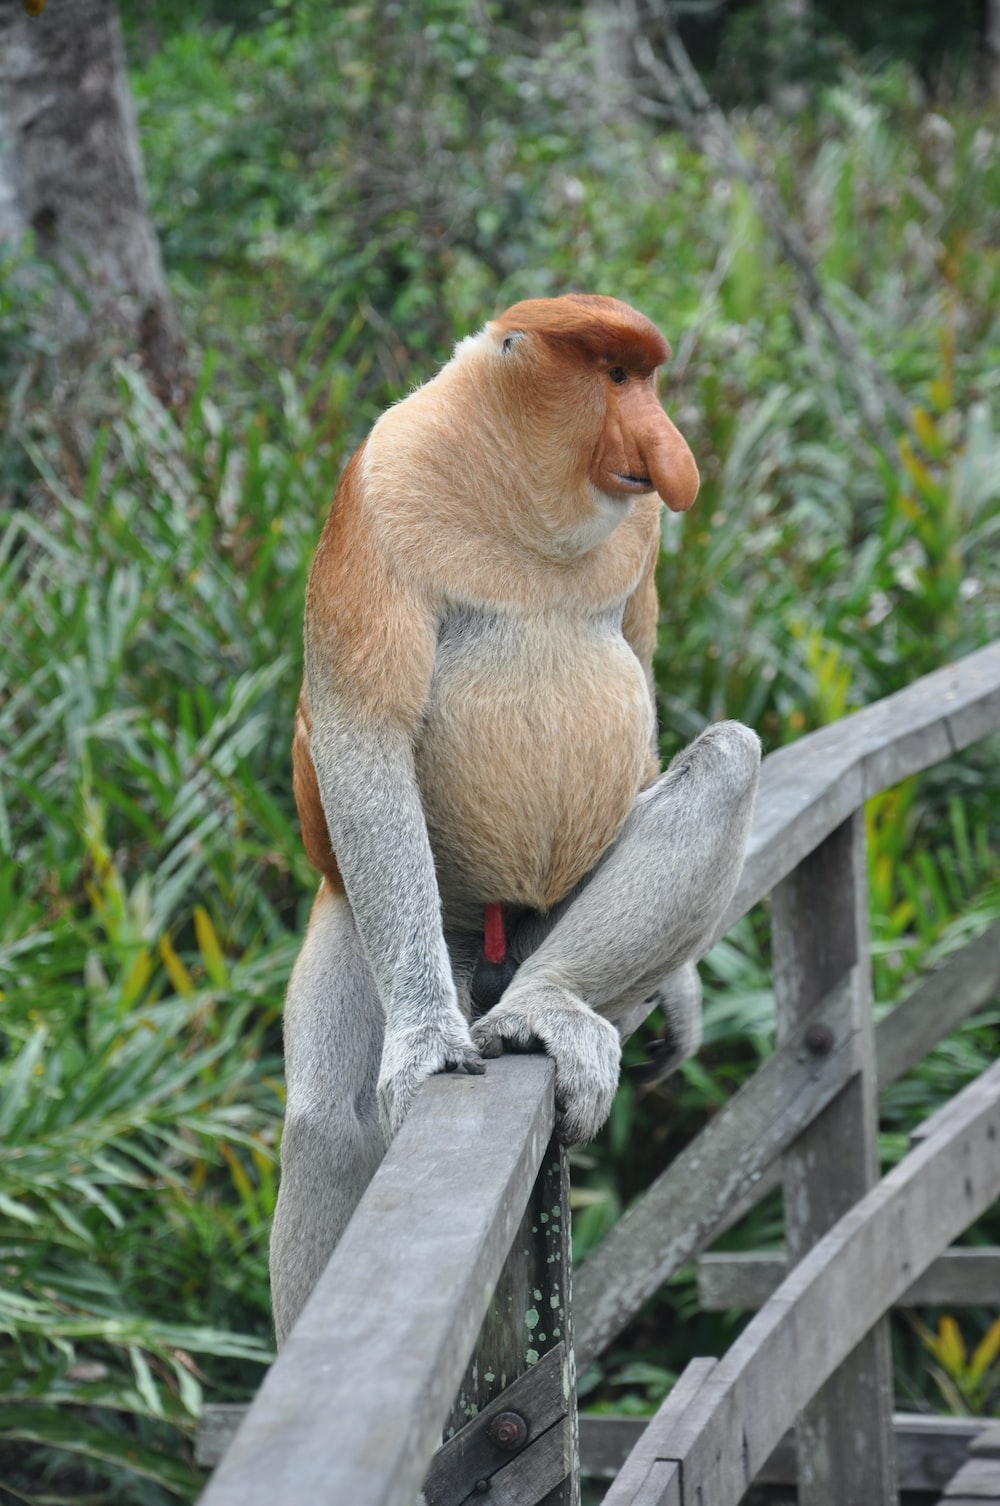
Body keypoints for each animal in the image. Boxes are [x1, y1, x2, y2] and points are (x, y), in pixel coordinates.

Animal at [269, 294, 761, 1345]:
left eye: (644, 378)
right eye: (615, 377)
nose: (669, 453)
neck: (529, 505)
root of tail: (494, 945)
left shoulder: (640, 536)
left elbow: (640, 664)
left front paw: (685, 991)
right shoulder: (382, 489)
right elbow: (363, 732)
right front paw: (422, 1044)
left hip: (552, 919)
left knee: (731, 758)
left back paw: (546, 1007)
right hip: (374, 909)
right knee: (328, 1122)